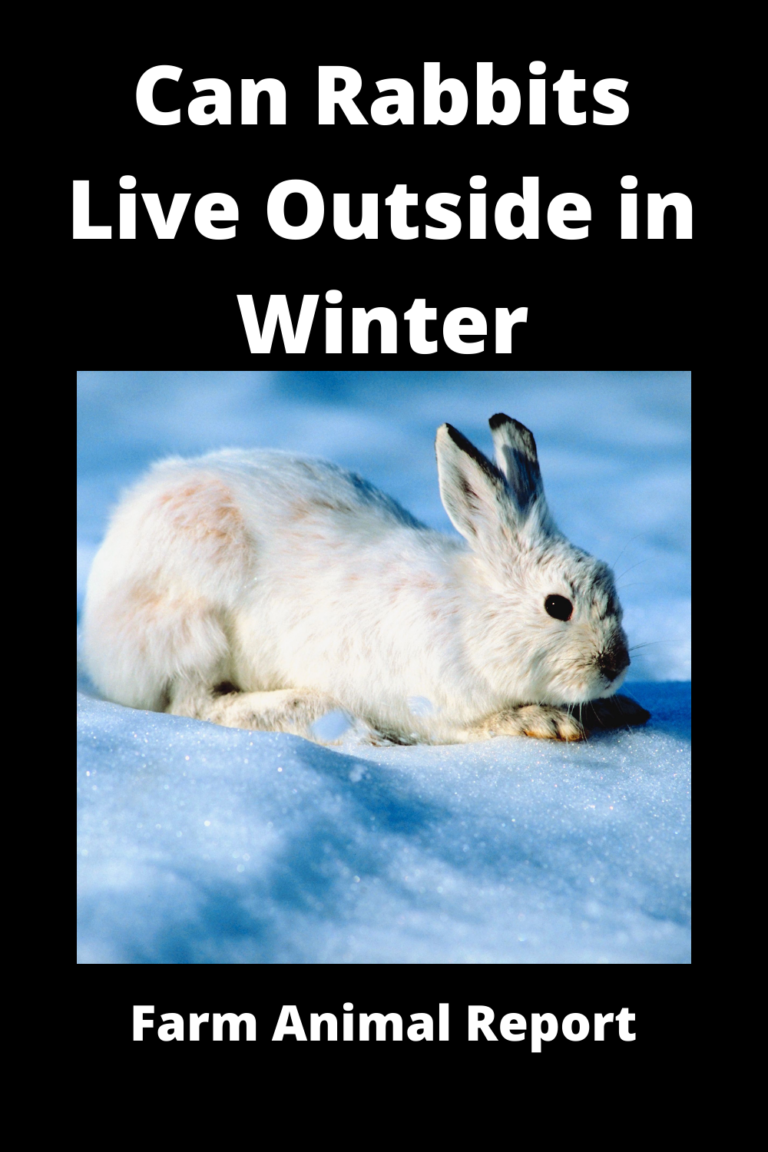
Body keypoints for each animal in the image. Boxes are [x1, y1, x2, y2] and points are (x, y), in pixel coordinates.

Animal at [83, 414, 650, 744]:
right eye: (557, 606)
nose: (615, 665)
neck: (469, 618)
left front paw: (619, 708)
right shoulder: (430, 702)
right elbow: (472, 726)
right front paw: (542, 721)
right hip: (192, 625)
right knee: (195, 704)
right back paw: (311, 712)